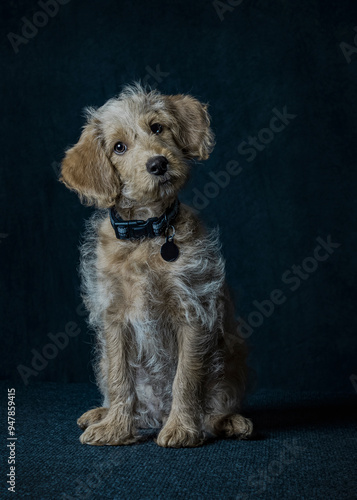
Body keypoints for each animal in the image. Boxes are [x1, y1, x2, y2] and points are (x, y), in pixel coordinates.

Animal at [59, 84, 252, 448]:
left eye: (157, 128)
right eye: (119, 147)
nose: (158, 163)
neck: (146, 234)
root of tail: (155, 413)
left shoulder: (194, 308)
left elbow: (186, 378)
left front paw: (182, 429)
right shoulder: (114, 317)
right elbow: (120, 378)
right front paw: (115, 428)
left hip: (230, 359)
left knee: (218, 403)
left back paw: (229, 421)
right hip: (103, 360)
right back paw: (102, 413)